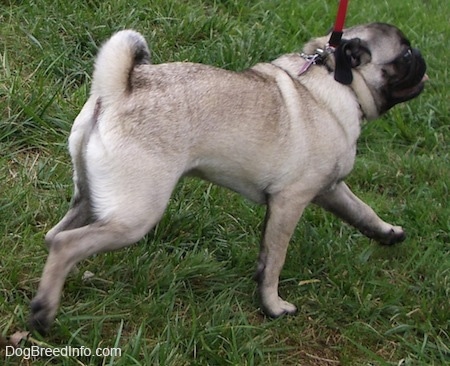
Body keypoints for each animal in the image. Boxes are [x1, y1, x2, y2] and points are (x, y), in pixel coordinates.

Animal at [29, 21, 428, 334]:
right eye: (406, 55)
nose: (423, 58)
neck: (335, 77)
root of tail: (117, 91)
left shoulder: (329, 189)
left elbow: (362, 211)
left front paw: (389, 233)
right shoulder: (290, 201)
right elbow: (274, 260)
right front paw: (272, 306)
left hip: (90, 196)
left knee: (55, 236)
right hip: (136, 214)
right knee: (67, 244)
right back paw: (43, 314)